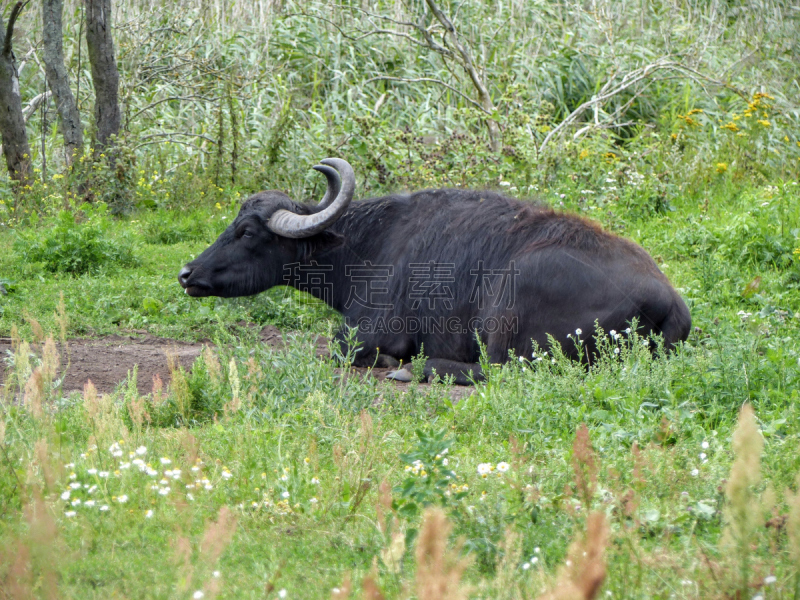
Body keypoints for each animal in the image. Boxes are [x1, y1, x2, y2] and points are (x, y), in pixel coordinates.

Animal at [178, 158, 692, 384]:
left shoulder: (366, 332)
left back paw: (416, 370)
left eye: (247, 231)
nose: (186, 273)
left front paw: (398, 363)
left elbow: (340, 347)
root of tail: (671, 302)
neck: (367, 247)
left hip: (507, 309)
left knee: (501, 370)